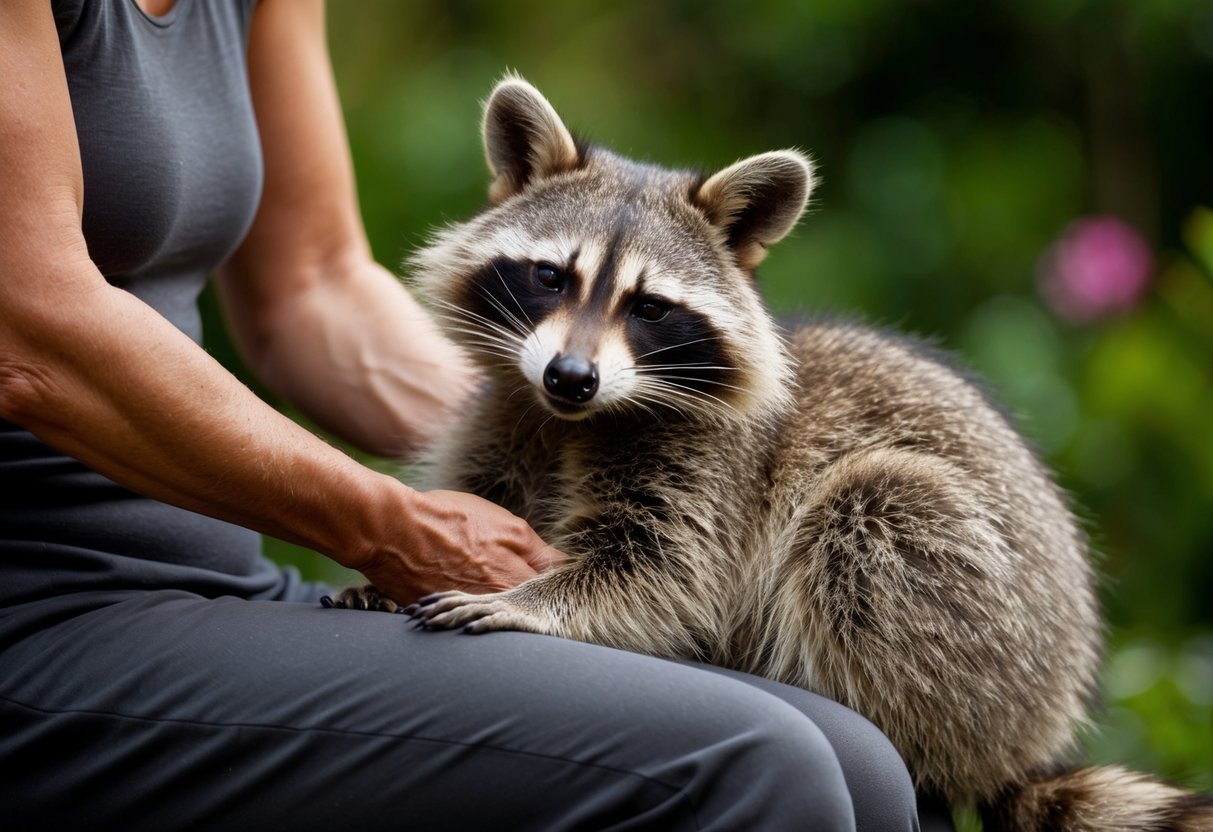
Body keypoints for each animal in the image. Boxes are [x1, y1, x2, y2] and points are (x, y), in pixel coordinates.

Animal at [333, 76, 1213, 830]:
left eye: (649, 307)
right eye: (550, 276)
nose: (570, 376)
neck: (577, 420)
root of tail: (1029, 737)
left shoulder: (712, 468)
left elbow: (664, 576)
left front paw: (532, 599)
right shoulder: (509, 413)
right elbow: (489, 490)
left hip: (982, 629)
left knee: (874, 507)